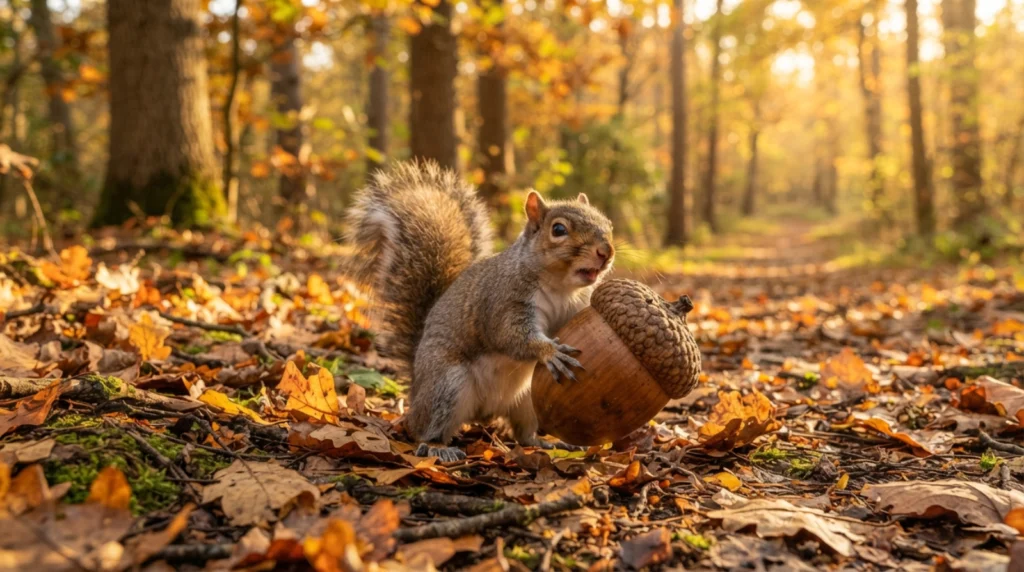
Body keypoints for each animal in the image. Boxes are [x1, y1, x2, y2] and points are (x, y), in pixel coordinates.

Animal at [345, 160, 615, 461]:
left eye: (608, 224)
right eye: (558, 230)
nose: (606, 251)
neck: (561, 287)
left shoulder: (572, 309)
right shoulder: (502, 302)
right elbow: (511, 336)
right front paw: (550, 351)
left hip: (527, 399)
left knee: (523, 433)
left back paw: (547, 443)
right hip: (447, 385)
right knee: (424, 429)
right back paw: (439, 447)